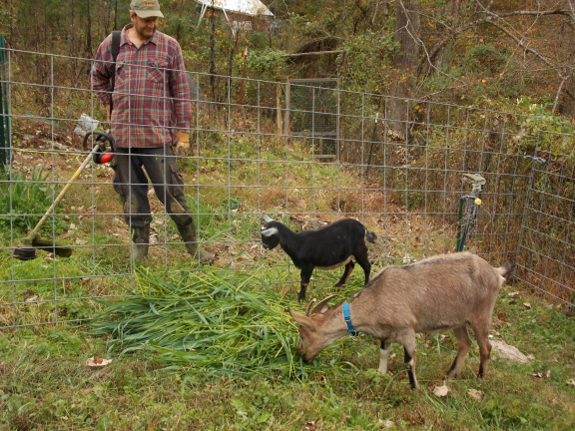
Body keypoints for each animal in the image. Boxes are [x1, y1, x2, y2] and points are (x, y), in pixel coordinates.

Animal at [290, 253, 510, 392]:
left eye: (303, 333)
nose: (301, 356)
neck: (376, 298)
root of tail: (496, 272)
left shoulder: (407, 328)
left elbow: (409, 360)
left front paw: (414, 389)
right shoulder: (387, 333)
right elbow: (383, 353)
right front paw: (380, 377)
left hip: (482, 314)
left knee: (485, 347)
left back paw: (480, 379)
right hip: (459, 320)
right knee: (465, 343)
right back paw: (449, 376)